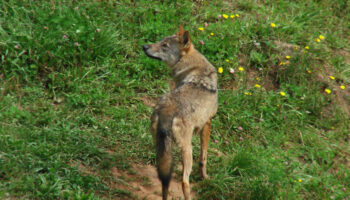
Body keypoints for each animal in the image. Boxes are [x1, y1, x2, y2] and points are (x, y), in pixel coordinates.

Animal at [142, 25, 216, 200]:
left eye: (164, 45)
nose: (144, 46)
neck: (195, 69)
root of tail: (166, 110)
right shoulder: (207, 123)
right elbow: (204, 157)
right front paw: (205, 177)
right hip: (188, 150)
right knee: (184, 182)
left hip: (161, 150)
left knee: (164, 180)